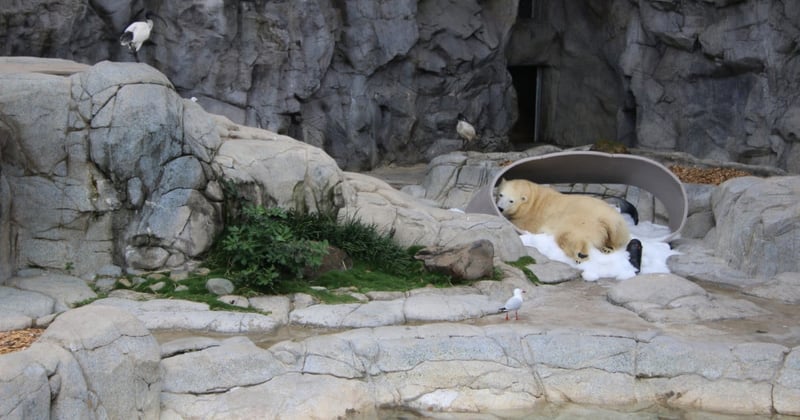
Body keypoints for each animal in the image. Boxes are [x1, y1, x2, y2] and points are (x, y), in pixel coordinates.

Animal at [494, 178, 632, 262]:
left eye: (511, 201)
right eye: (501, 194)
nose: (500, 208)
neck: (534, 198)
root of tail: (605, 218)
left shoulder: (530, 217)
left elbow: (521, 224)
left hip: (581, 221)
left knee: (568, 236)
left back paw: (581, 254)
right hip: (618, 224)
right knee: (618, 237)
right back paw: (608, 248)